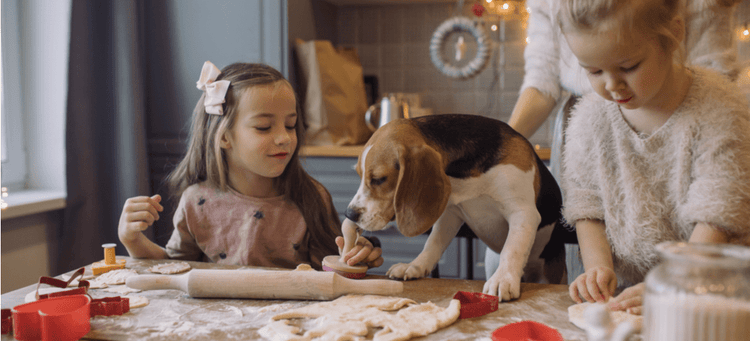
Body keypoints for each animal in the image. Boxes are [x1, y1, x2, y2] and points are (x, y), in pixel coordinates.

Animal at [348, 113, 576, 300]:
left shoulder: (523, 213)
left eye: (379, 179)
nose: (349, 213)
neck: (465, 176)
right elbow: (432, 244)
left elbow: (512, 249)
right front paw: (415, 266)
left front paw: (503, 279)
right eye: (358, 174)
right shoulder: (450, 214)